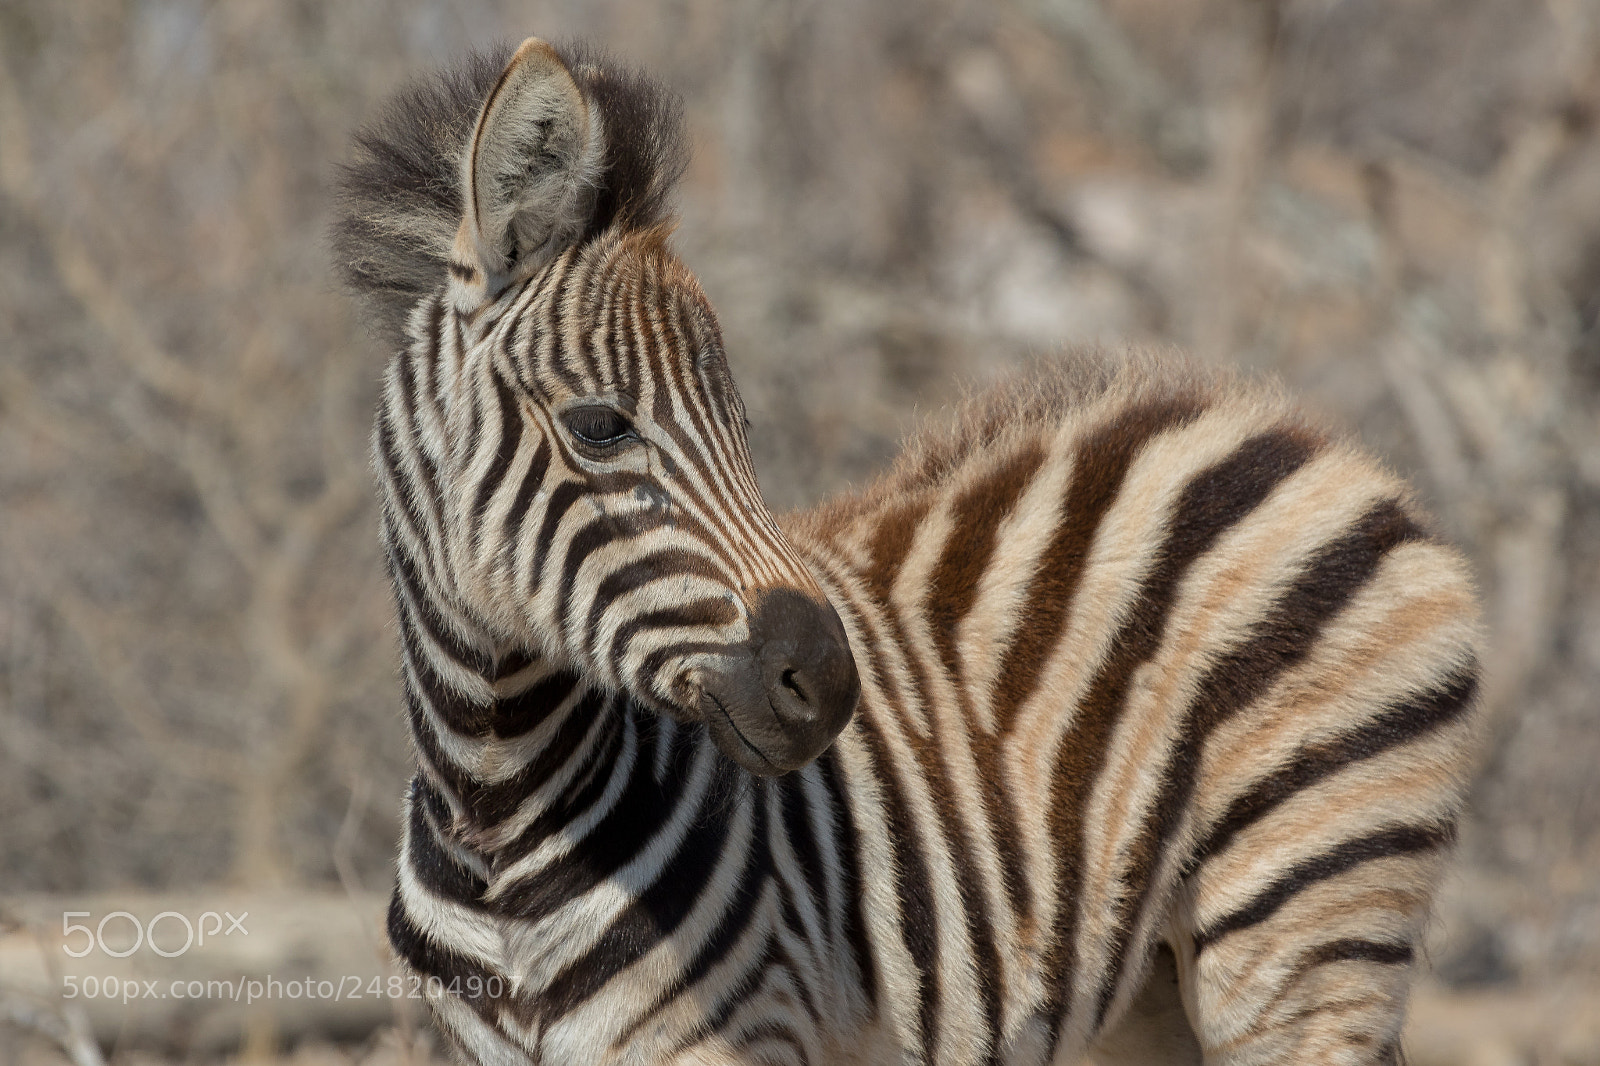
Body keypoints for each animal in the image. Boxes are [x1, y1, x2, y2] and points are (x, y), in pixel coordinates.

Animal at [333, 38, 1483, 1066]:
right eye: (601, 427)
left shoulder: (734, 1033)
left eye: (745, 432)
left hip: (1309, 931)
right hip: (1153, 991)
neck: (498, 811)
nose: (828, 684)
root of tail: (1318, 446)